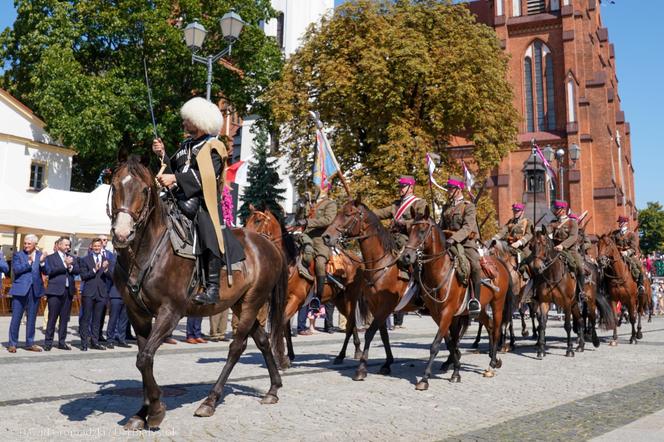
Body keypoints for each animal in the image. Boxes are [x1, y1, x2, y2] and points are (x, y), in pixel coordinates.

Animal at [108, 157, 286, 430]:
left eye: (144, 189)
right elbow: (142, 359)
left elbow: (145, 357)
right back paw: (273, 389)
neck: (148, 251)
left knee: (237, 347)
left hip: (252, 302)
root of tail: (267, 243)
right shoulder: (137, 314)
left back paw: (210, 401)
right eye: (115, 186)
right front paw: (142, 412)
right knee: (263, 341)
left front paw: (156, 409)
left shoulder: (170, 312)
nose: (121, 234)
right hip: (240, 303)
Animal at [244, 209, 364, 364]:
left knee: (351, 322)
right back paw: (354, 351)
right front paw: (289, 355)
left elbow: (281, 324)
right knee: (351, 322)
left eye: (258, 220)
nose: (246, 239)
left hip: (350, 298)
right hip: (339, 300)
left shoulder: (295, 300)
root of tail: (356, 259)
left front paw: (281, 356)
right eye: (246, 220)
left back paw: (348, 353)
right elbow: (285, 328)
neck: (289, 262)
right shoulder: (283, 301)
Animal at [320, 199, 416, 382]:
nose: (326, 237)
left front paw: (361, 369)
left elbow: (370, 333)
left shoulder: (385, 306)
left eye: (347, 214)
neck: (380, 265)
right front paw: (387, 363)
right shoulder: (375, 306)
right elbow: (383, 334)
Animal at [400, 209, 512, 388]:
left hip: (497, 305)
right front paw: (456, 371)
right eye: (409, 230)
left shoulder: (447, 312)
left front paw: (424, 379)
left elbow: (436, 344)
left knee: (496, 329)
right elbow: (451, 342)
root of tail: (500, 263)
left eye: (423, 230)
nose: (406, 257)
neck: (440, 271)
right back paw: (495, 360)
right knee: (489, 325)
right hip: (479, 309)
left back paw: (491, 365)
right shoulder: (438, 315)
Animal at [528, 230, 584, 358]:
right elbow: (542, 324)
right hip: (574, 304)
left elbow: (567, 325)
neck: (553, 275)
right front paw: (541, 350)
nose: (535, 267)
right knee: (579, 320)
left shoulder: (567, 303)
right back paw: (581, 345)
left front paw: (569, 349)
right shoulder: (544, 302)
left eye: (543, 244)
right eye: (531, 246)